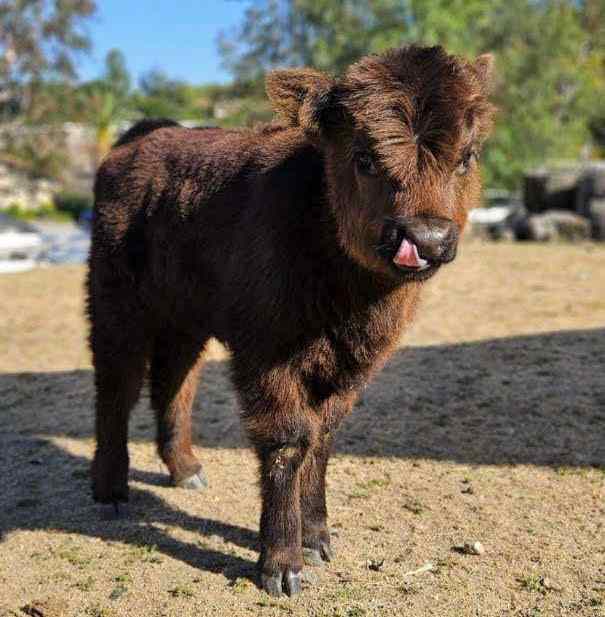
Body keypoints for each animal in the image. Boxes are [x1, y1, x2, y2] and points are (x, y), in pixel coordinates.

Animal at [88, 45, 496, 596]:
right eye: (364, 158)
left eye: (466, 157)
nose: (425, 239)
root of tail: (144, 137)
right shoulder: (267, 354)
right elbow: (287, 440)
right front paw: (281, 563)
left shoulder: (352, 366)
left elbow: (321, 438)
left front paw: (317, 537)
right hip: (116, 303)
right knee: (118, 386)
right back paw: (110, 491)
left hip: (186, 318)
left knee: (174, 382)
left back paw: (185, 468)